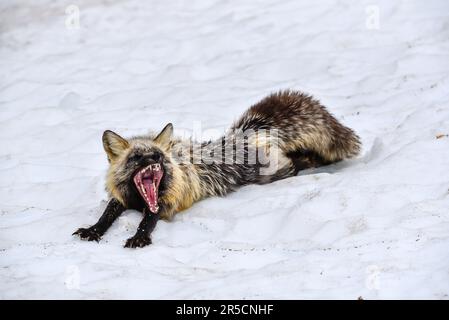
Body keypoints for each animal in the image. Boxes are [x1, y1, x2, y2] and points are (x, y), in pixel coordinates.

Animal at [73, 90, 360, 248]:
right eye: (136, 158)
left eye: (158, 156)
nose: (154, 160)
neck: (138, 200)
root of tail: (245, 135)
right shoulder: (120, 197)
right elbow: (106, 215)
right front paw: (92, 230)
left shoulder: (169, 202)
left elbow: (148, 221)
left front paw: (139, 237)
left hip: (271, 173)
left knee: (295, 164)